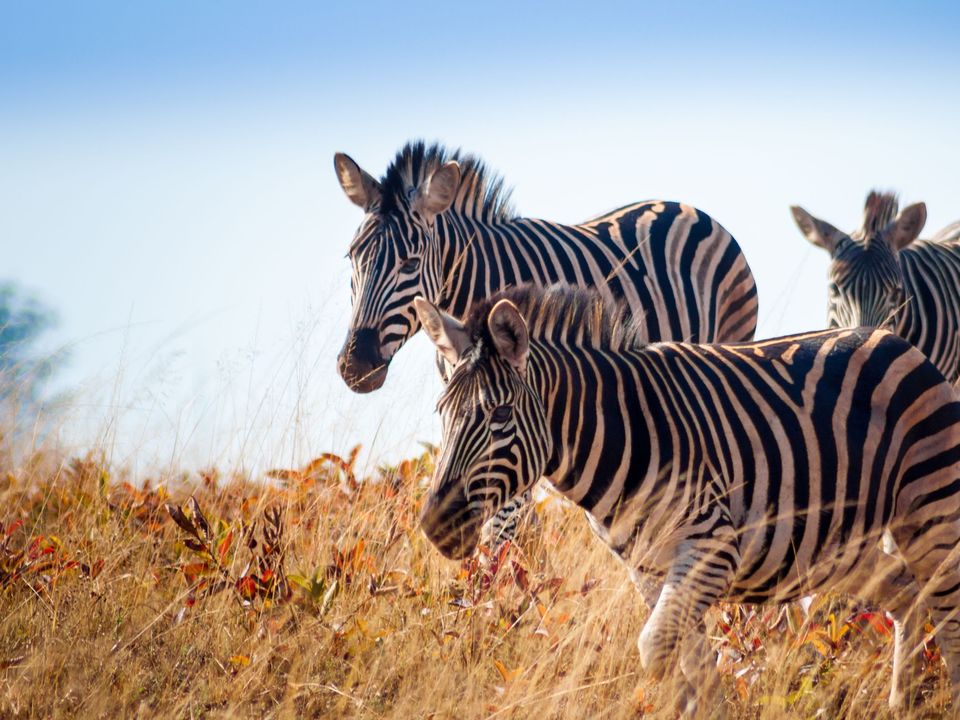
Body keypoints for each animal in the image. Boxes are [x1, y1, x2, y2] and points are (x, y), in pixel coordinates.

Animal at [413, 283, 960, 714]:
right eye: (440, 412)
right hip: (836, 548)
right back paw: (902, 704)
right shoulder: (649, 567)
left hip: (931, 510)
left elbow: (657, 653)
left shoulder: (711, 548)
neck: (621, 434)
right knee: (906, 595)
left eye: (500, 415)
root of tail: (892, 336)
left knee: (947, 611)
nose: (436, 525)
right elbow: (692, 668)